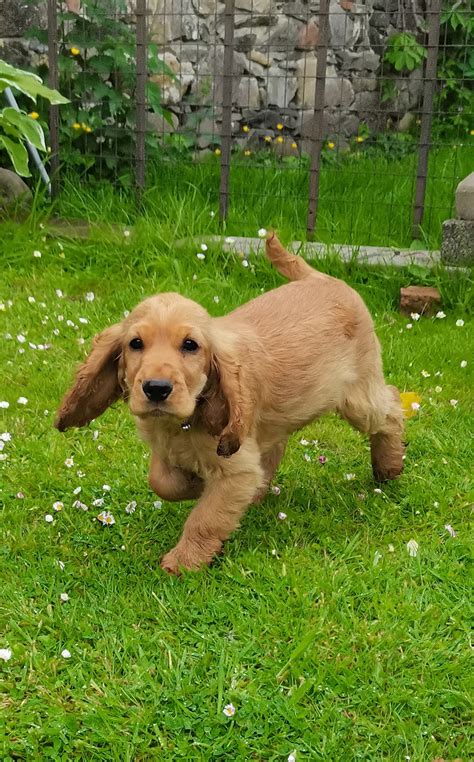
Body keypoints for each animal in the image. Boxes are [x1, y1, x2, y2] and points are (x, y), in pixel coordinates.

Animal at [55, 235, 404, 572]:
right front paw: (193, 483)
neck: (184, 422)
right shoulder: (168, 448)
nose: (156, 389)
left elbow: (206, 518)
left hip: (359, 397)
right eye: (135, 344)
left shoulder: (237, 468)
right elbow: (161, 481)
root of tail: (324, 278)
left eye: (190, 345)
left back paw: (388, 467)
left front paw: (184, 561)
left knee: (392, 407)